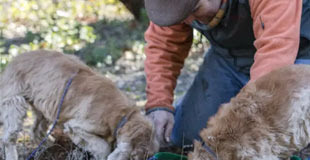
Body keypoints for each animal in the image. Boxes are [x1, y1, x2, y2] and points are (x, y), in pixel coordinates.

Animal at [0, 50, 159, 160]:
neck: (124, 115)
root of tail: (13, 60)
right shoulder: (76, 127)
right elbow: (103, 147)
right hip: (14, 102)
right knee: (9, 138)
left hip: (42, 107)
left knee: (36, 130)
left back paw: (50, 145)